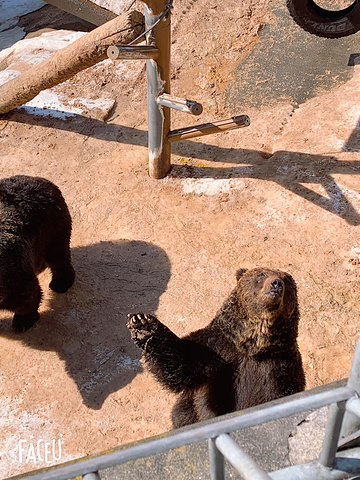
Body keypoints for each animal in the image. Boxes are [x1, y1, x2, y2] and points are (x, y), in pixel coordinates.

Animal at [0, 174, 75, 332]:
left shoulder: (15, 276)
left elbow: (29, 296)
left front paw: (22, 321)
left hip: (53, 228)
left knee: (59, 258)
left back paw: (61, 282)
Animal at [128, 266, 306, 428]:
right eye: (262, 274)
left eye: (286, 280)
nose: (276, 283)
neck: (253, 346)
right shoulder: (219, 348)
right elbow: (183, 360)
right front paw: (144, 324)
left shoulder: (281, 366)